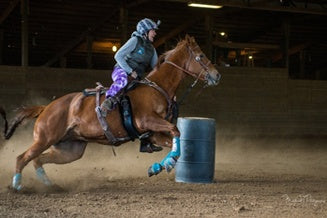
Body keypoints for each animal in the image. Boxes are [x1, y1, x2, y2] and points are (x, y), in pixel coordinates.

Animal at [1, 35, 220, 190]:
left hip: (70, 149)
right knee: (22, 158)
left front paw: (160, 166)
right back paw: (17, 186)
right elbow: (176, 130)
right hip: (44, 138)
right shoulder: (147, 121)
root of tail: (45, 108)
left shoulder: (153, 134)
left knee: (38, 159)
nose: (217, 75)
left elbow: (174, 139)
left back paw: (50, 186)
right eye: (201, 56)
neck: (157, 87)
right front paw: (167, 163)